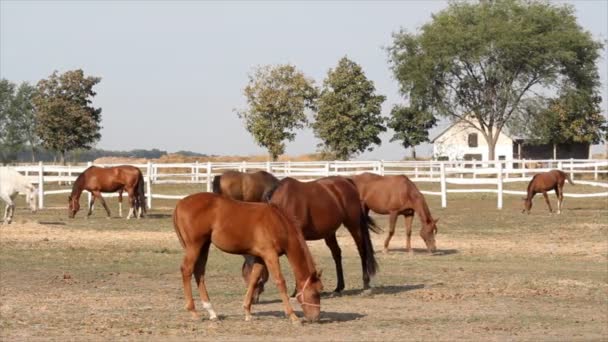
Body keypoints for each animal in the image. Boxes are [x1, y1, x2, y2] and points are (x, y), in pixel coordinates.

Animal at [171, 192, 324, 324]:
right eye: (315, 293)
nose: (315, 318)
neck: (278, 222)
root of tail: (180, 203)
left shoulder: (260, 258)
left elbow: (253, 280)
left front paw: (247, 312)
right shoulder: (270, 255)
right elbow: (280, 281)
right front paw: (293, 316)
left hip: (204, 246)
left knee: (199, 272)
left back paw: (211, 312)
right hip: (194, 246)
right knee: (187, 270)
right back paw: (193, 312)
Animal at [243, 175, 380, 296]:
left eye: (257, 276)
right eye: (244, 275)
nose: (253, 298)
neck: (284, 203)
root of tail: (347, 181)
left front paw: (298, 290)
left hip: (353, 225)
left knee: (362, 251)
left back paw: (366, 284)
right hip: (329, 233)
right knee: (337, 254)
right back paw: (338, 287)